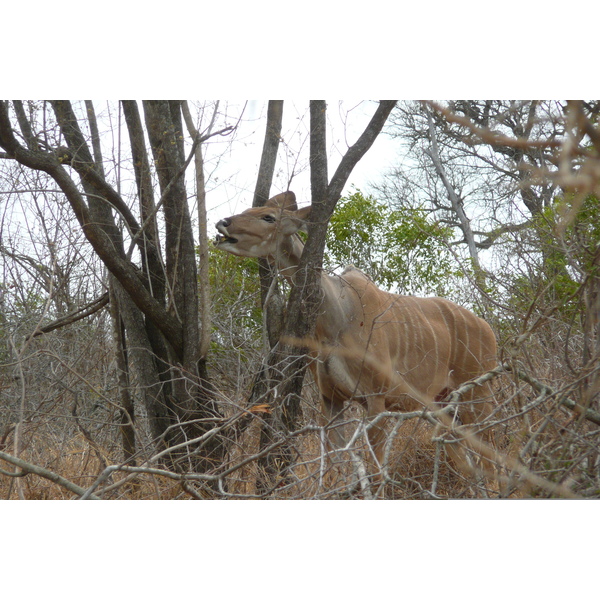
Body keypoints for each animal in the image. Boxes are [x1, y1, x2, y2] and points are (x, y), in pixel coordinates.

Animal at [216, 193, 496, 482]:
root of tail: (488, 329)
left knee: (490, 459)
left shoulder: (376, 399)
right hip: (444, 403)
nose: (222, 223)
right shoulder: (331, 399)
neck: (338, 316)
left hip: (478, 395)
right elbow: (335, 468)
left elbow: (376, 471)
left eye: (268, 217)